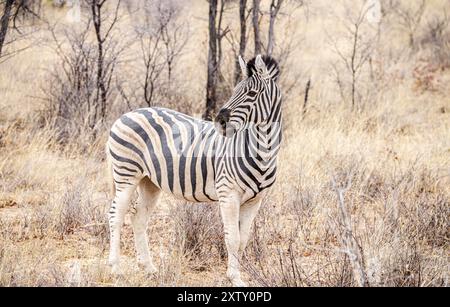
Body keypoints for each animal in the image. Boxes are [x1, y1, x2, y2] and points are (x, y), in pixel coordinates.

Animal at [106, 54, 282, 288]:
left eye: (252, 94)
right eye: (234, 90)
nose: (219, 121)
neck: (262, 150)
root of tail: (125, 115)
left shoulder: (255, 200)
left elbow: (243, 239)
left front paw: (238, 276)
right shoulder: (228, 194)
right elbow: (232, 238)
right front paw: (234, 279)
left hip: (149, 182)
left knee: (138, 217)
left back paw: (149, 268)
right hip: (126, 173)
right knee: (116, 215)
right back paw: (116, 269)